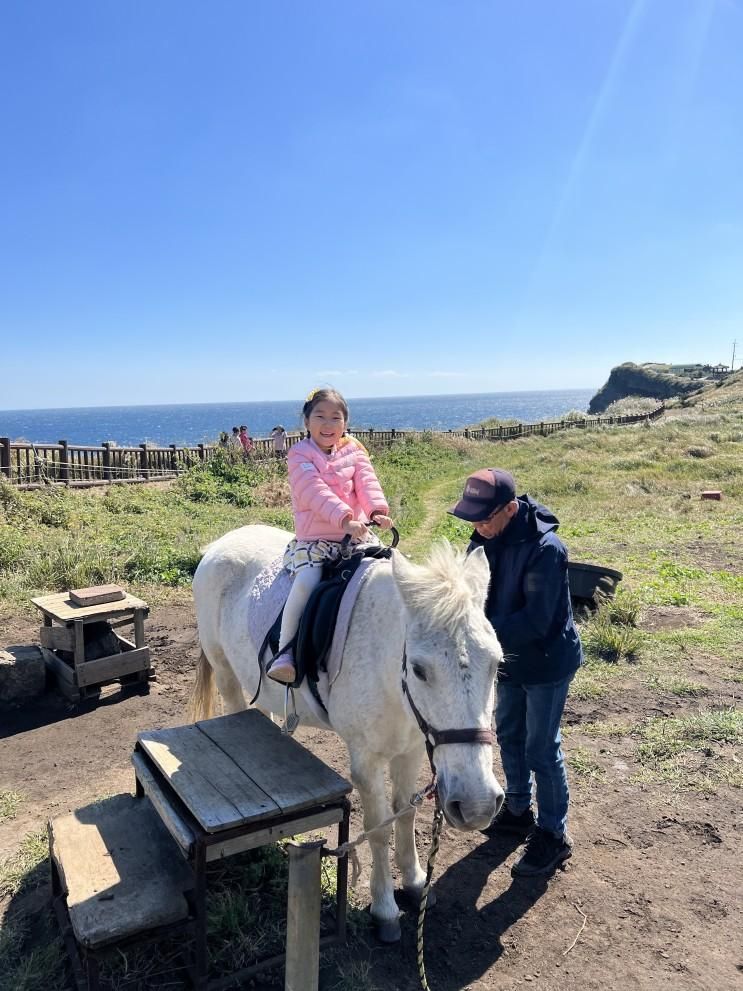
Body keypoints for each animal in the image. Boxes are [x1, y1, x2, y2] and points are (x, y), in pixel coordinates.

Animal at [189, 524, 508, 940]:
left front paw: (415, 883)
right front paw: (385, 909)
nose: (477, 806)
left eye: (497, 663)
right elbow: (377, 829)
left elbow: (405, 814)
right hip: (224, 671)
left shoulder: (411, 750)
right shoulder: (367, 762)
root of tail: (220, 543)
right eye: (419, 669)